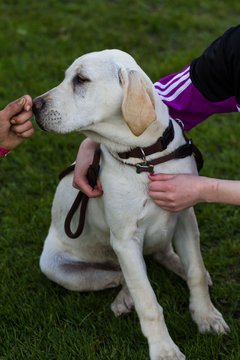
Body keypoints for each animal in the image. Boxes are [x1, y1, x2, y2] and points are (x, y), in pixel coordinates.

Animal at [32, 48, 230, 360]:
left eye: (81, 79)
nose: (33, 107)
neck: (145, 159)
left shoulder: (185, 216)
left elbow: (196, 271)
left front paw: (207, 317)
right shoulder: (125, 240)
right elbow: (147, 300)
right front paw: (164, 350)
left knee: (162, 255)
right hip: (60, 267)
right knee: (122, 276)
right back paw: (124, 298)